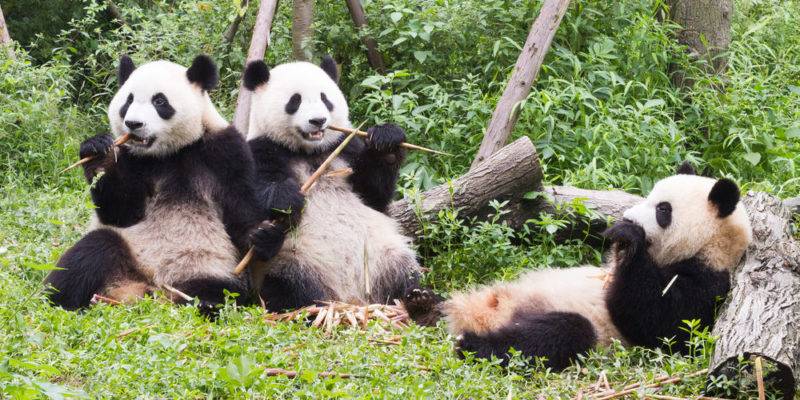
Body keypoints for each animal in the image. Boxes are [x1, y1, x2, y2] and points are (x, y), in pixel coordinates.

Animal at [46, 54, 262, 310]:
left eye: (159, 101)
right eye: (128, 101)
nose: (133, 124)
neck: (169, 153)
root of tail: (146, 288)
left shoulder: (225, 152)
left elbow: (240, 214)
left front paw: (263, 236)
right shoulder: (131, 158)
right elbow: (121, 213)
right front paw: (97, 151)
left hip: (205, 268)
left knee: (219, 291)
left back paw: (204, 301)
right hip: (128, 251)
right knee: (92, 250)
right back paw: (57, 299)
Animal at [244, 57, 422, 312]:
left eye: (324, 98)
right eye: (295, 101)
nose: (318, 121)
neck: (309, 152)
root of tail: (351, 299)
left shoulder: (345, 147)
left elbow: (373, 194)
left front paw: (387, 141)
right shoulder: (262, 148)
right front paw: (286, 199)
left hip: (382, 256)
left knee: (404, 273)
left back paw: (420, 300)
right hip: (295, 261)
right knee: (289, 289)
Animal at [404, 164, 752, 370]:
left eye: (663, 210)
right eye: (648, 195)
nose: (627, 217)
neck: (710, 246)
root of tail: (474, 316)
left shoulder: (709, 284)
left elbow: (660, 322)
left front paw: (628, 238)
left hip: (575, 327)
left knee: (556, 334)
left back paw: (472, 344)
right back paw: (425, 304)